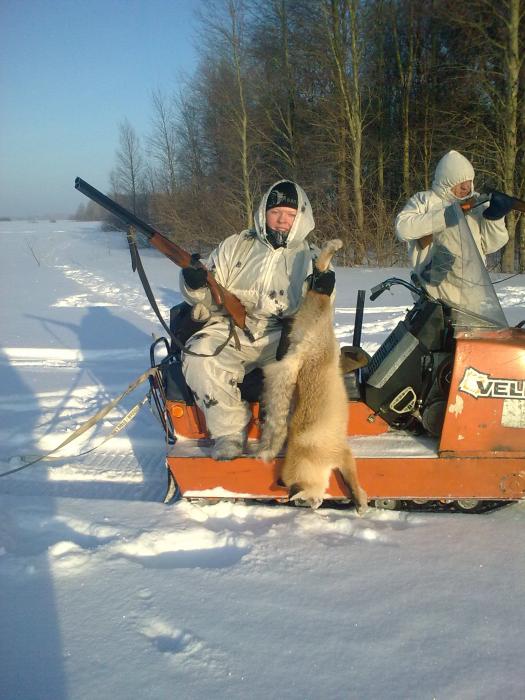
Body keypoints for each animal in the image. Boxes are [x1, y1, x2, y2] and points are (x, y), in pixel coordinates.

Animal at [256, 239, 368, 513]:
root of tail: (301, 350)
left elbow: (352, 482)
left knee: (320, 271)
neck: (308, 452)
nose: (314, 507)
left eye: (303, 500)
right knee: (316, 278)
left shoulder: (342, 453)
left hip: (320, 312)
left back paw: (330, 251)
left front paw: (359, 501)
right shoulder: (340, 455)